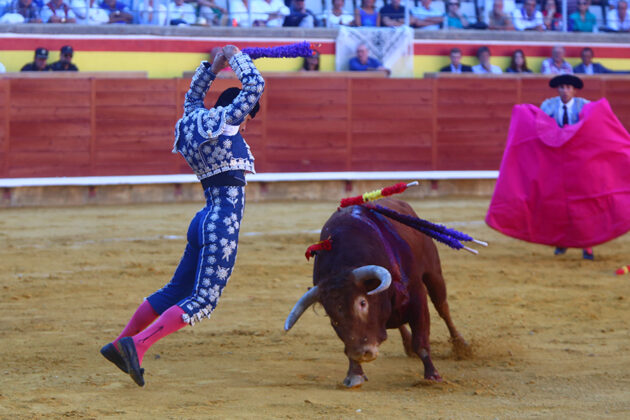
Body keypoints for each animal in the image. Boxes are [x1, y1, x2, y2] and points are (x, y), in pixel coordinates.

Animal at [286, 199, 470, 388]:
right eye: (332, 316)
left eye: (362, 303)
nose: (362, 353)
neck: (343, 266)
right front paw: (354, 374)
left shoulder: (417, 297)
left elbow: (421, 340)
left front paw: (433, 375)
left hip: (434, 273)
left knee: (443, 308)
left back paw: (461, 346)